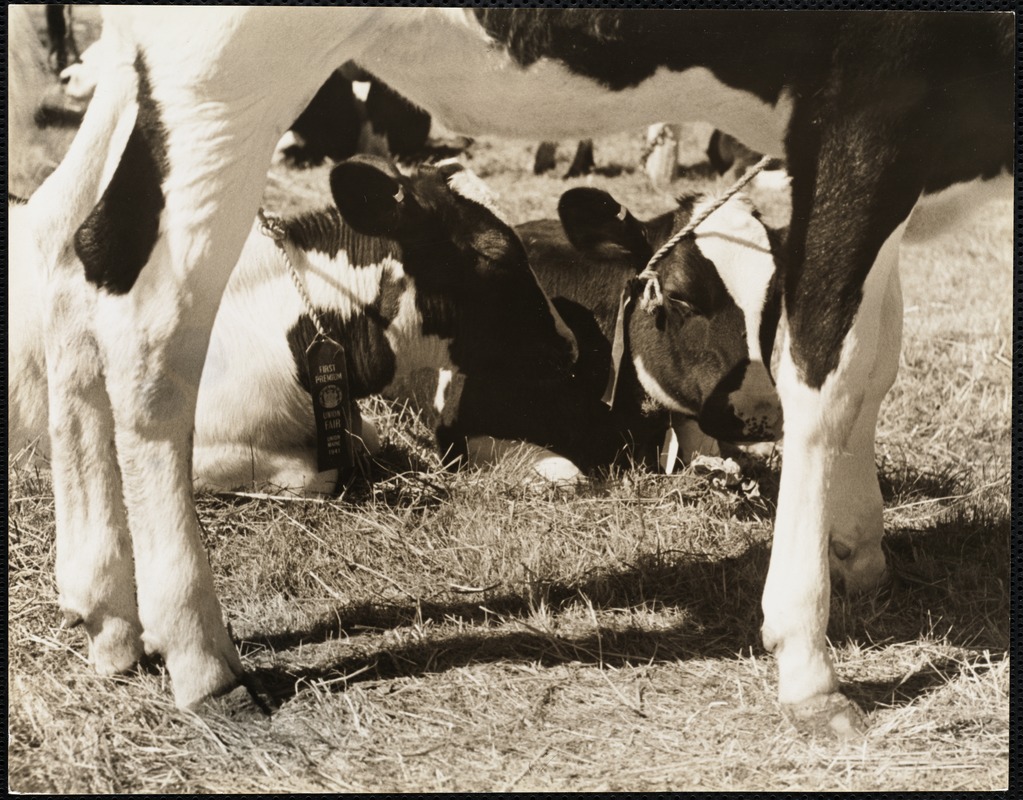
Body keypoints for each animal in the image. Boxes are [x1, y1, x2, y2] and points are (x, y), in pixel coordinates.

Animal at [36, 6, 1010, 736]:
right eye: (681, 297)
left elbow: (872, 359)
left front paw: (860, 546)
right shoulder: (870, 107)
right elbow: (825, 371)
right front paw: (808, 661)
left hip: (136, 78)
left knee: (63, 250)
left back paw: (105, 605)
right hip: (222, 75)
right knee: (149, 325)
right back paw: (200, 653)